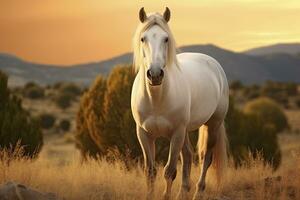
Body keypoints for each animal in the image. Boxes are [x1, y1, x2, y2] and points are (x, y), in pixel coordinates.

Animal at [130, 7, 229, 199]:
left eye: (166, 38)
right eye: (143, 38)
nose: (155, 74)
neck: (156, 99)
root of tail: (214, 65)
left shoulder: (176, 134)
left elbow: (169, 171)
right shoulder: (143, 134)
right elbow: (150, 171)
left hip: (212, 124)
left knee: (205, 158)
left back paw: (198, 191)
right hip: (185, 131)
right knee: (188, 156)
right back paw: (184, 191)